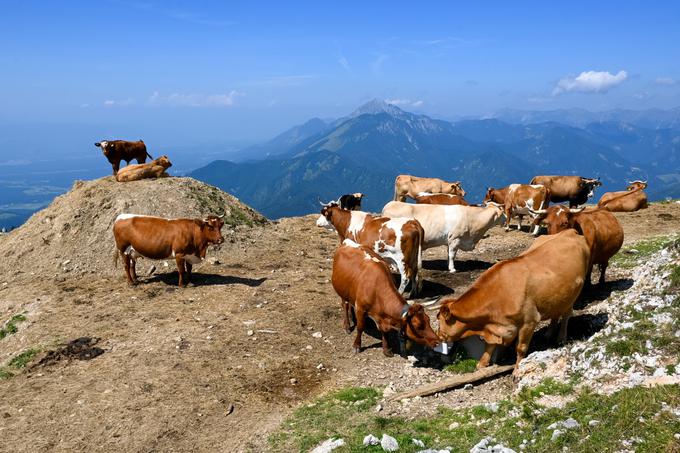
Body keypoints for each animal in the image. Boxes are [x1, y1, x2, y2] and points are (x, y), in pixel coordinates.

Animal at [436, 230, 588, 370]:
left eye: (440, 321)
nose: (438, 336)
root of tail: (569, 231)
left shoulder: (530, 321)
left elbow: (521, 348)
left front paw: (517, 370)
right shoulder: (497, 328)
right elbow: (489, 345)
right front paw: (482, 363)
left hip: (574, 294)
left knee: (566, 315)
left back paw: (561, 338)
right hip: (557, 296)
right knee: (555, 313)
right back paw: (549, 333)